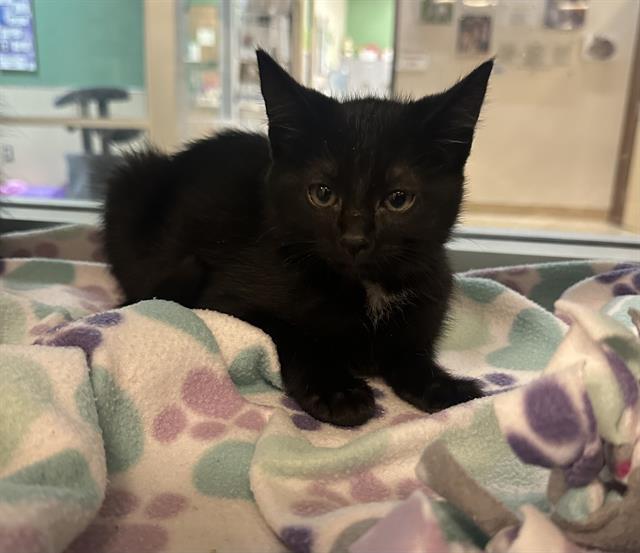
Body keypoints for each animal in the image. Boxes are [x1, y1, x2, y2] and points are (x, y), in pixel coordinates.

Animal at [104, 48, 496, 426]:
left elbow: (409, 353)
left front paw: (444, 385)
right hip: (131, 180)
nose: (354, 240)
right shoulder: (224, 303)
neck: (368, 287)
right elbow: (296, 334)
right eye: (322, 193)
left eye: (399, 199)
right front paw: (337, 389)